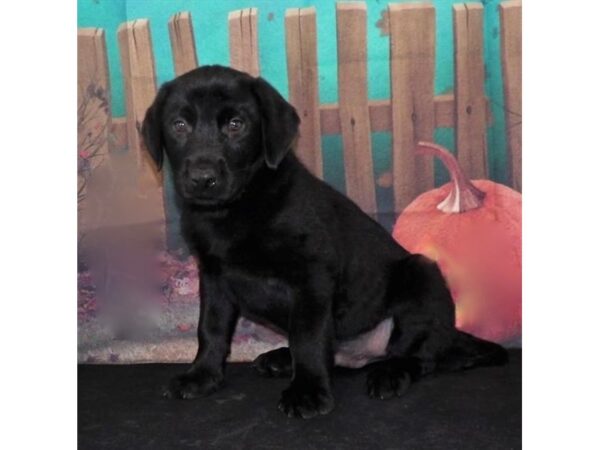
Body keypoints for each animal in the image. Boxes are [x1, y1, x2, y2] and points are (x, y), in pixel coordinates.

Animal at [142, 66, 506, 418]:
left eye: (236, 124)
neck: (236, 208)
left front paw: (307, 392)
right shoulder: (214, 277)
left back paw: (389, 373)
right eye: (179, 125)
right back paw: (281, 358)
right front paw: (202, 376)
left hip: (421, 275)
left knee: (419, 356)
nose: (202, 179)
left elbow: (308, 337)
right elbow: (211, 329)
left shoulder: (311, 276)